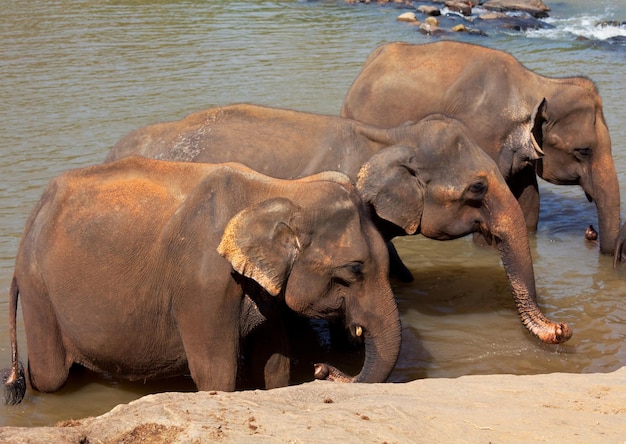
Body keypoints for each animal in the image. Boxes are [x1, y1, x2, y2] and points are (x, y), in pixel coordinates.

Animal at [1, 158, 400, 404]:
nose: (320, 368)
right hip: (38, 290)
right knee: (50, 376)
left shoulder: (259, 288)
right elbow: (217, 374)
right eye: (355, 270)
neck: (281, 188)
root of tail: (34, 214)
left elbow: (274, 362)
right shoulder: (203, 286)